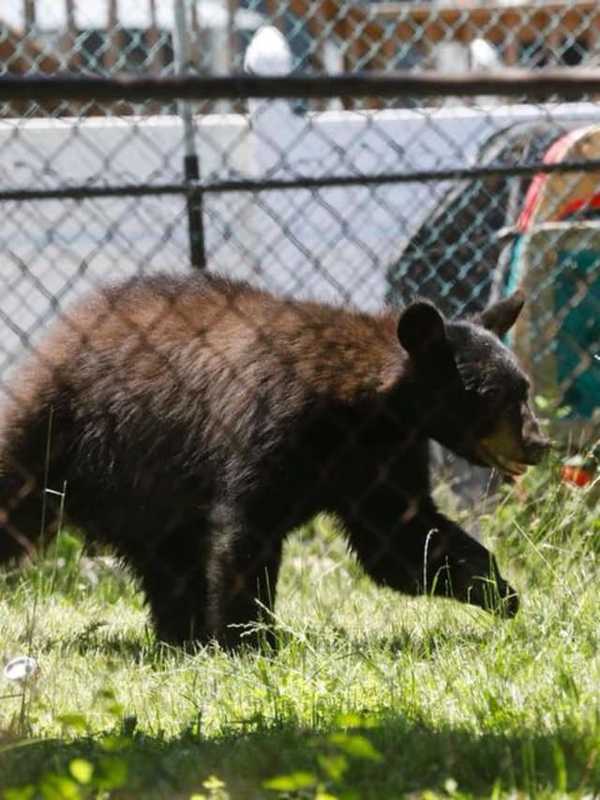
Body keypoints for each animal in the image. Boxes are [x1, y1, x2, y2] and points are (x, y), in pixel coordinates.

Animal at [0, 274, 548, 644]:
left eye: (524, 387)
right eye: (497, 396)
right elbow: (247, 529)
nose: (539, 443)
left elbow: (400, 537)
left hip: (141, 485)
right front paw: (250, 640)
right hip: (61, 433)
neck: (366, 408)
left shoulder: (383, 454)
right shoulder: (271, 424)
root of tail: (54, 339)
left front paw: (498, 590)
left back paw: (181, 637)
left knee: (167, 560)